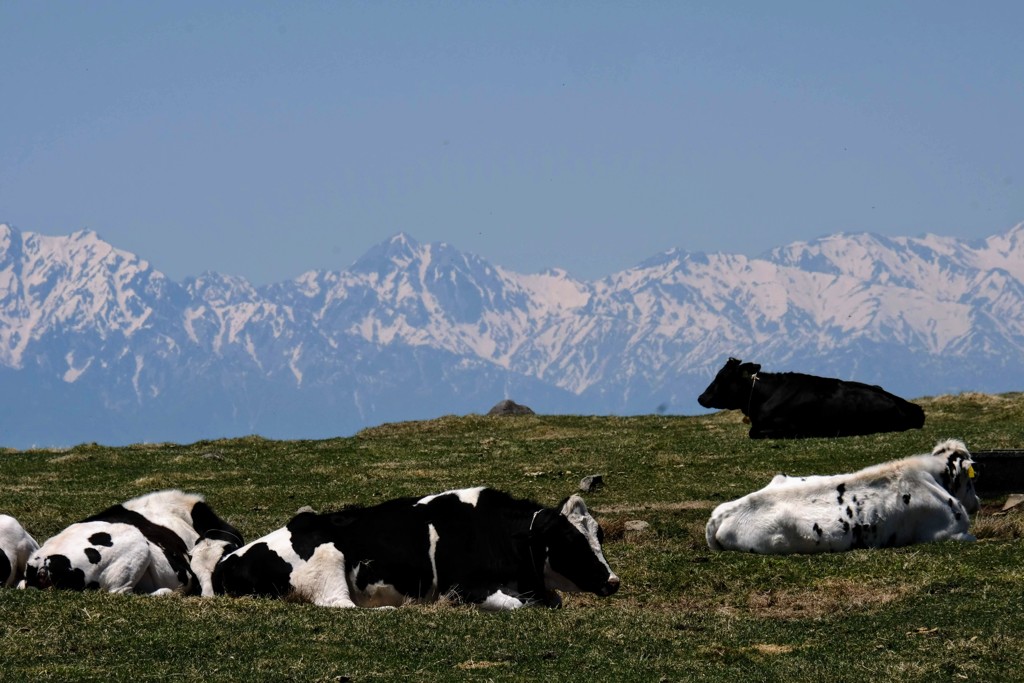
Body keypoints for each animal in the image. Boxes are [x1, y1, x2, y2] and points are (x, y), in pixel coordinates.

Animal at [194, 483, 618, 610]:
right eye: (569, 540)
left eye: (598, 535)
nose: (612, 581)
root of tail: (228, 562)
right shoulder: (463, 587)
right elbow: (517, 606)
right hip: (329, 564)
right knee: (342, 607)